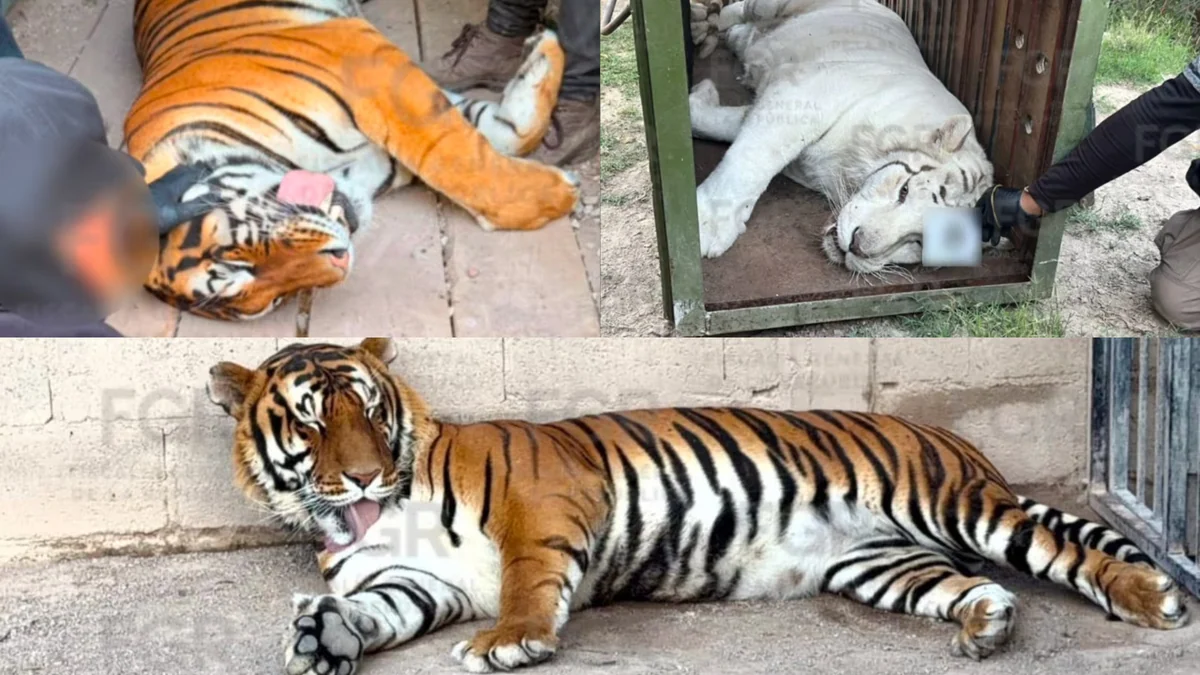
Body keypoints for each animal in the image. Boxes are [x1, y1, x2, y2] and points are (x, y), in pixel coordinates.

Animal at [127, 0, 580, 320]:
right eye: (274, 301)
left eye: (234, 256)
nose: (342, 257)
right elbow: (497, 136)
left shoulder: (372, 66)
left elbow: (459, 159)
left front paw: (560, 197)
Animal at [206, 338, 1189, 674]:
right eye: (310, 418)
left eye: (370, 410)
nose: (365, 478)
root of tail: (955, 438)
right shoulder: (416, 580)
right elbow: (374, 610)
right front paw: (323, 635)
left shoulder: (544, 501)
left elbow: (527, 579)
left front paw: (510, 640)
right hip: (884, 562)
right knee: (978, 586)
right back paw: (987, 625)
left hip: (956, 505)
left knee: (1064, 550)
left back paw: (1156, 600)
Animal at [686, 0, 994, 269]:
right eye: (904, 191)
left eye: (919, 242)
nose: (857, 245)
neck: (850, 168)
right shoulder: (803, 96)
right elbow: (754, 157)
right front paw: (706, 225)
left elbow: (725, 128)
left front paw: (699, 97)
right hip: (767, 6)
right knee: (738, 10)